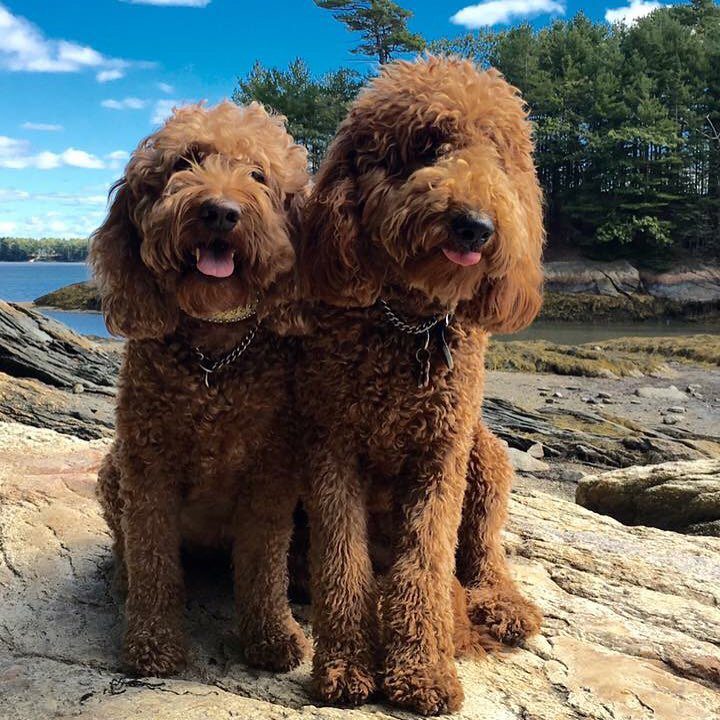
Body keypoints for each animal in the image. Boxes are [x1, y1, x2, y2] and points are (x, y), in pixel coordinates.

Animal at [90, 100, 310, 676]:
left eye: (258, 175)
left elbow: (263, 567)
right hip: (113, 470)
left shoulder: (270, 476)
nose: (220, 212)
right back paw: (122, 581)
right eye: (184, 163)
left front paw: (272, 636)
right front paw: (153, 643)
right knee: (127, 548)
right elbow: (153, 563)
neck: (214, 354)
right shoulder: (148, 470)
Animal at [296, 57, 544, 716]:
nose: (475, 226)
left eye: (499, 157)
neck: (409, 322)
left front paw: (423, 669)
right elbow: (343, 563)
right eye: (428, 145)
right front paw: (347, 665)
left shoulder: (440, 455)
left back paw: (501, 602)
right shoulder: (333, 448)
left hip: (486, 455)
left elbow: (428, 565)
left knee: (482, 549)